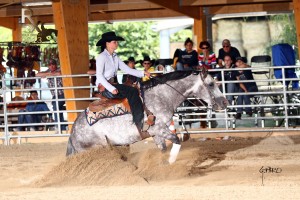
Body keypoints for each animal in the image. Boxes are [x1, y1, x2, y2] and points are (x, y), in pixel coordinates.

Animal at [67, 69, 229, 163]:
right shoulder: (158, 129)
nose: (225, 102)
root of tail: (73, 133)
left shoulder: (155, 133)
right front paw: (172, 160)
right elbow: (176, 140)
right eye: (210, 84)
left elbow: (163, 149)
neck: (162, 96)